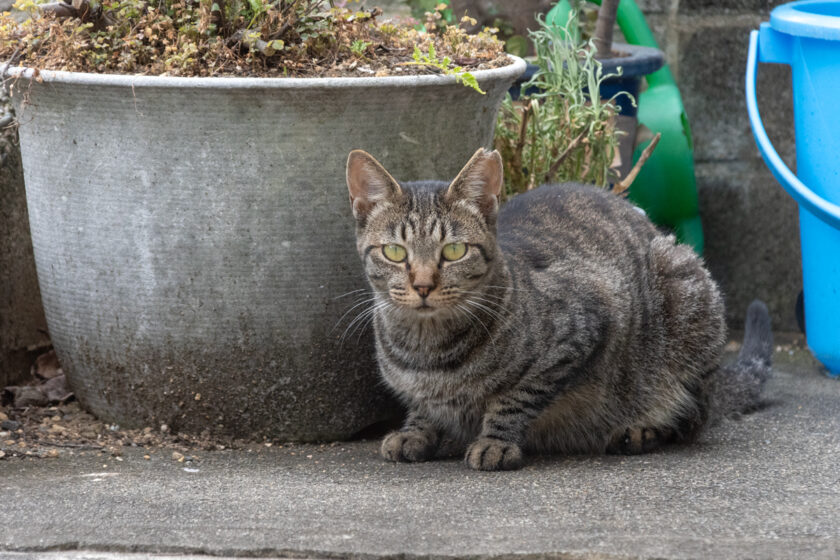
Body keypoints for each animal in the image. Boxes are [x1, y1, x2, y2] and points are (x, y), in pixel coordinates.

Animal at [344, 147, 772, 470]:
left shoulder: (582, 330)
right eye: (394, 252)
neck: (426, 351)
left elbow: (515, 397)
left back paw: (641, 429)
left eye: (454, 251)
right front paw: (416, 431)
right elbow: (423, 406)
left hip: (685, 295)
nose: (422, 285)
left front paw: (495, 442)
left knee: (691, 418)